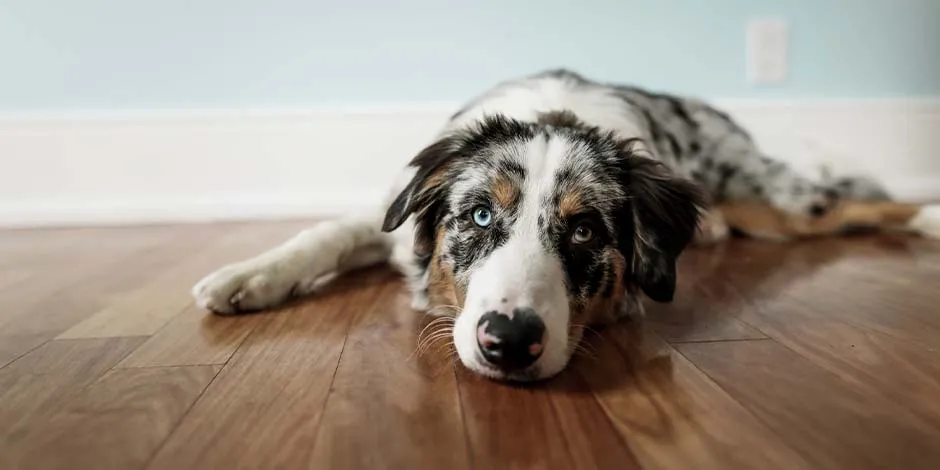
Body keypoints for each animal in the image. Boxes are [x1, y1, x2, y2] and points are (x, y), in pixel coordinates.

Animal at [191, 68, 940, 382]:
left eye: (584, 233)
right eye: (479, 214)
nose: (508, 342)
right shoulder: (393, 218)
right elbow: (322, 233)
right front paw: (246, 277)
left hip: (778, 201)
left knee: (856, 203)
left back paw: (930, 216)